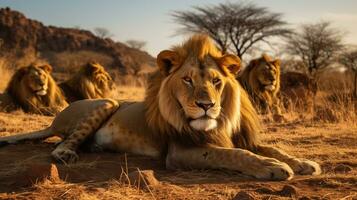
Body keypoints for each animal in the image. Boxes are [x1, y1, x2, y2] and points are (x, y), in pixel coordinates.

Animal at [0, 34, 318, 181]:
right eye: (188, 80)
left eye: (216, 81)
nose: (206, 105)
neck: (222, 120)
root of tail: (56, 119)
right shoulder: (181, 151)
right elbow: (234, 154)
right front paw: (272, 168)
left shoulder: (243, 136)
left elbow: (272, 147)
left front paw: (303, 162)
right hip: (107, 101)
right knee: (61, 143)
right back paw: (66, 153)